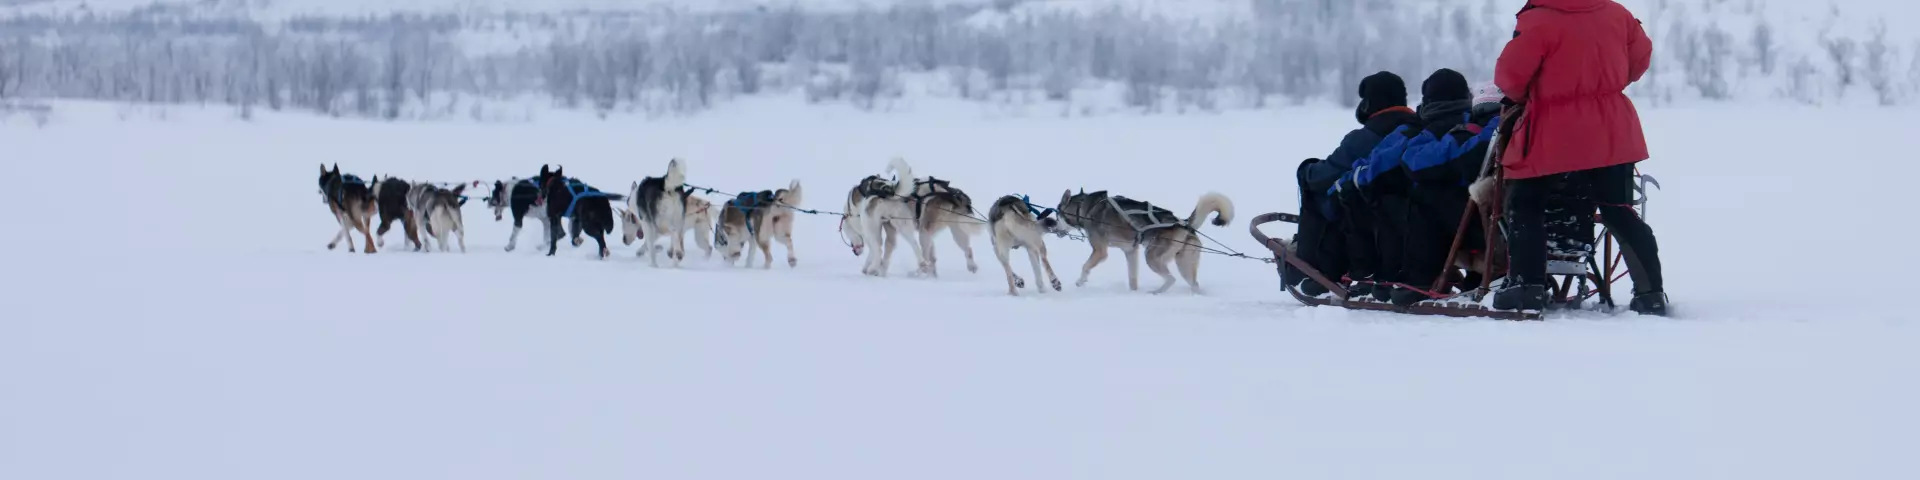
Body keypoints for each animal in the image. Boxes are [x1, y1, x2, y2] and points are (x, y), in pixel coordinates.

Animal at [1059, 189, 1236, 293]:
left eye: (1057, 213)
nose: (1054, 226)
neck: (1085, 208)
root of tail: (1183, 223)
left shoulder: (1100, 251)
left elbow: (1085, 266)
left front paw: (1080, 281)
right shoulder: (1131, 251)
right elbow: (1132, 278)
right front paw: (1133, 292)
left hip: (1152, 257)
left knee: (1171, 279)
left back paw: (1156, 293)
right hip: (1184, 264)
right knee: (1193, 284)